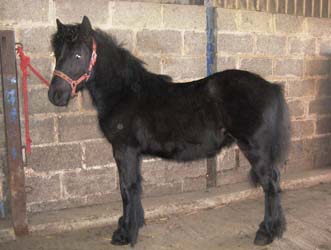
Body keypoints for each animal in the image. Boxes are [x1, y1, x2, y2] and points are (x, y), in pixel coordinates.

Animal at [48, 17, 290, 246]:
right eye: (57, 54)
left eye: (78, 55)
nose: (55, 96)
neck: (125, 93)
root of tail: (271, 87)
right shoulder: (132, 153)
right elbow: (135, 186)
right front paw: (134, 223)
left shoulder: (124, 150)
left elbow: (127, 188)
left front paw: (125, 233)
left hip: (254, 148)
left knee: (269, 184)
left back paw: (265, 233)